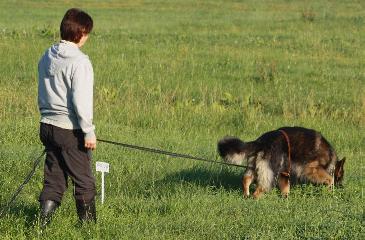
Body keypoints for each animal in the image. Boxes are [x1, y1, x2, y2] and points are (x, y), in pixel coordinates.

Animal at [216, 125, 344, 199]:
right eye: (341, 177)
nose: (342, 188)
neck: (330, 158)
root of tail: (261, 140)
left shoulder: (284, 172)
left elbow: (285, 188)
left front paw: (285, 199)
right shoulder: (311, 169)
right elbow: (329, 179)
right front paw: (330, 191)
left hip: (256, 166)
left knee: (246, 179)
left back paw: (246, 195)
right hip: (272, 170)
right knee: (259, 190)